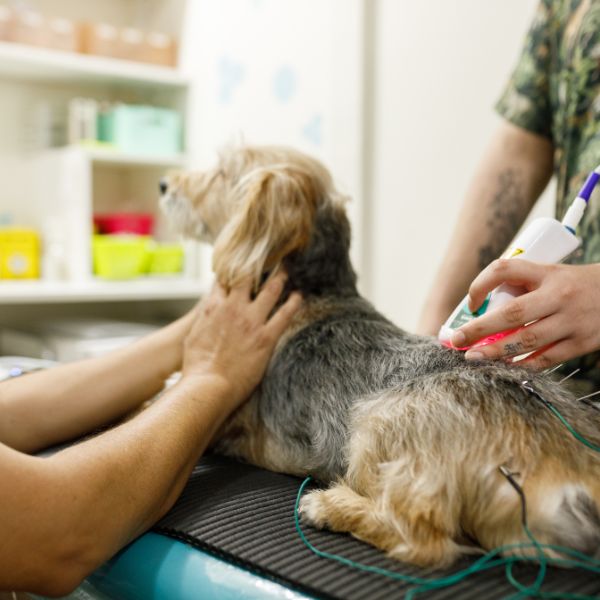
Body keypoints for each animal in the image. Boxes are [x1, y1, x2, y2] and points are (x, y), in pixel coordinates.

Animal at [159, 145, 600, 568]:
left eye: (221, 171)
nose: (164, 184)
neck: (317, 291)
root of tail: (575, 467)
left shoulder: (231, 420)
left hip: (380, 420)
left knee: (423, 540)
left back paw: (331, 507)